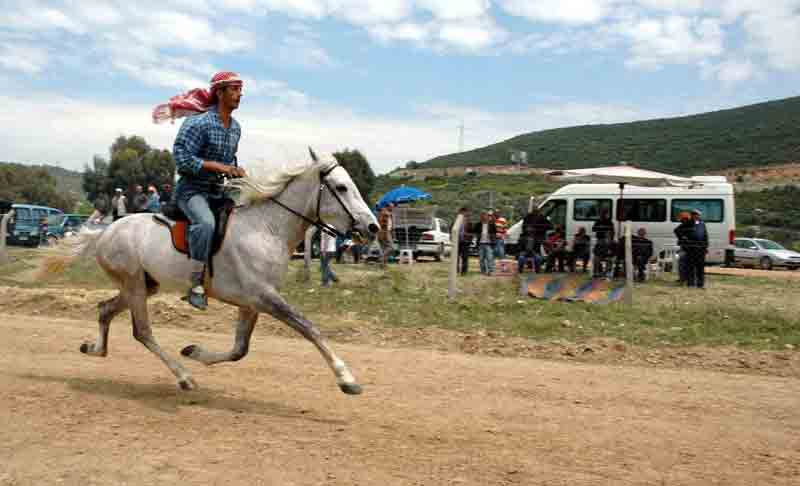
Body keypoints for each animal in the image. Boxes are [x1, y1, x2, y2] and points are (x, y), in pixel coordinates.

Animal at [67, 156, 376, 394]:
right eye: (341, 187)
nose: (372, 227)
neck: (266, 229)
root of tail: (105, 231)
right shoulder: (265, 297)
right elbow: (309, 328)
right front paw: (346, 378)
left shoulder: (251, 304)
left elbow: (240, 349)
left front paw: (195, 351)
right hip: (134, 286)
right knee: (142, 331)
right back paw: (184, 377)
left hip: (145, 285)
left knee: (105, 309)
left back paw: (93, 348)